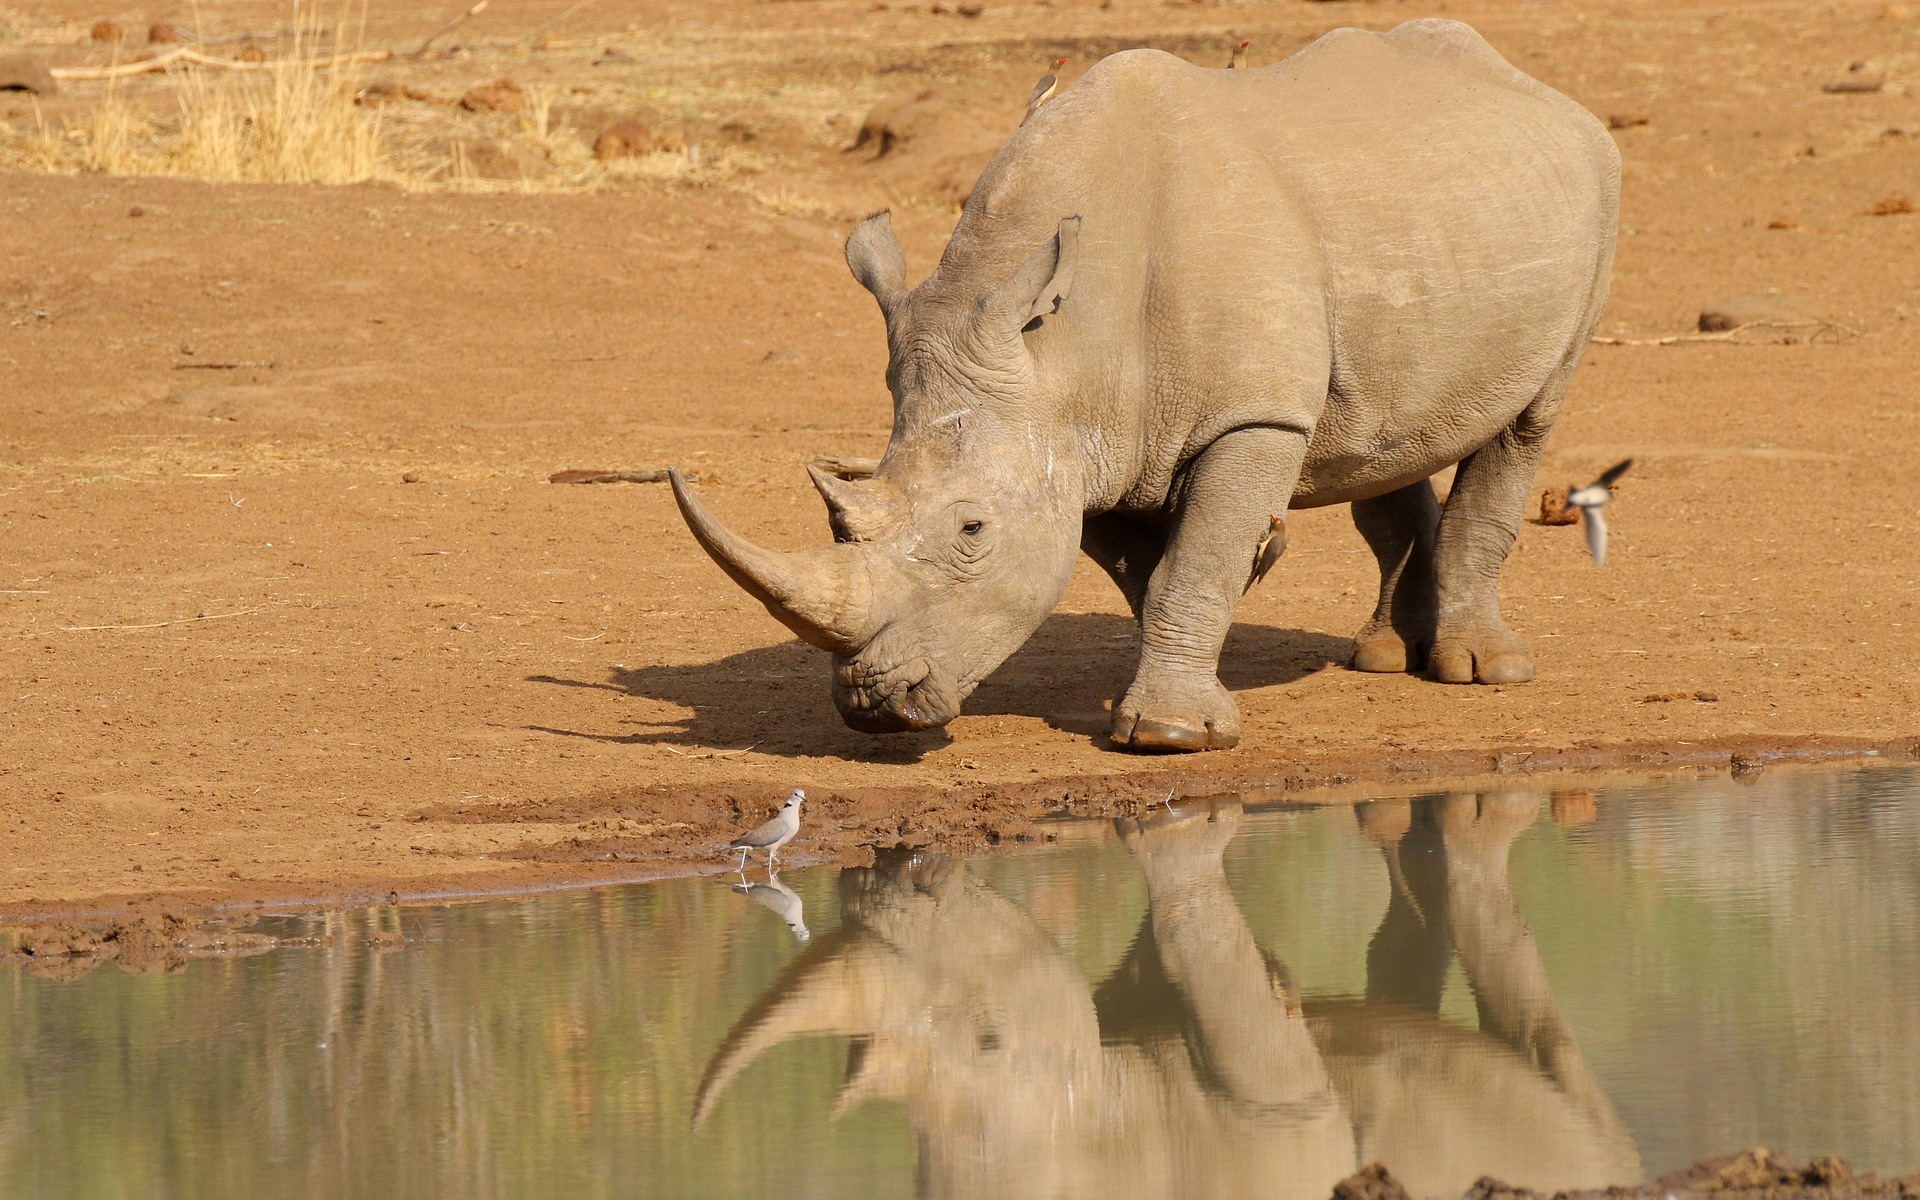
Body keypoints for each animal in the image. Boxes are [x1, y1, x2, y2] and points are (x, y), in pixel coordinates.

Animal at [669, 19, 1620, 750]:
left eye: (973, 531)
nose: (872, 705)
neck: (1061, 345)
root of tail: (1534, 86)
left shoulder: (1249, 419)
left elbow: (1193, 560)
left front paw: (1167, 736)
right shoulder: (1089, 438)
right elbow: (1151, 568)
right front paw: (1189, 681)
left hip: (1595, 189)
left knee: (1527, 420)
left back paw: (1483, 673)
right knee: (1388, 431)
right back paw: (1384, 658)